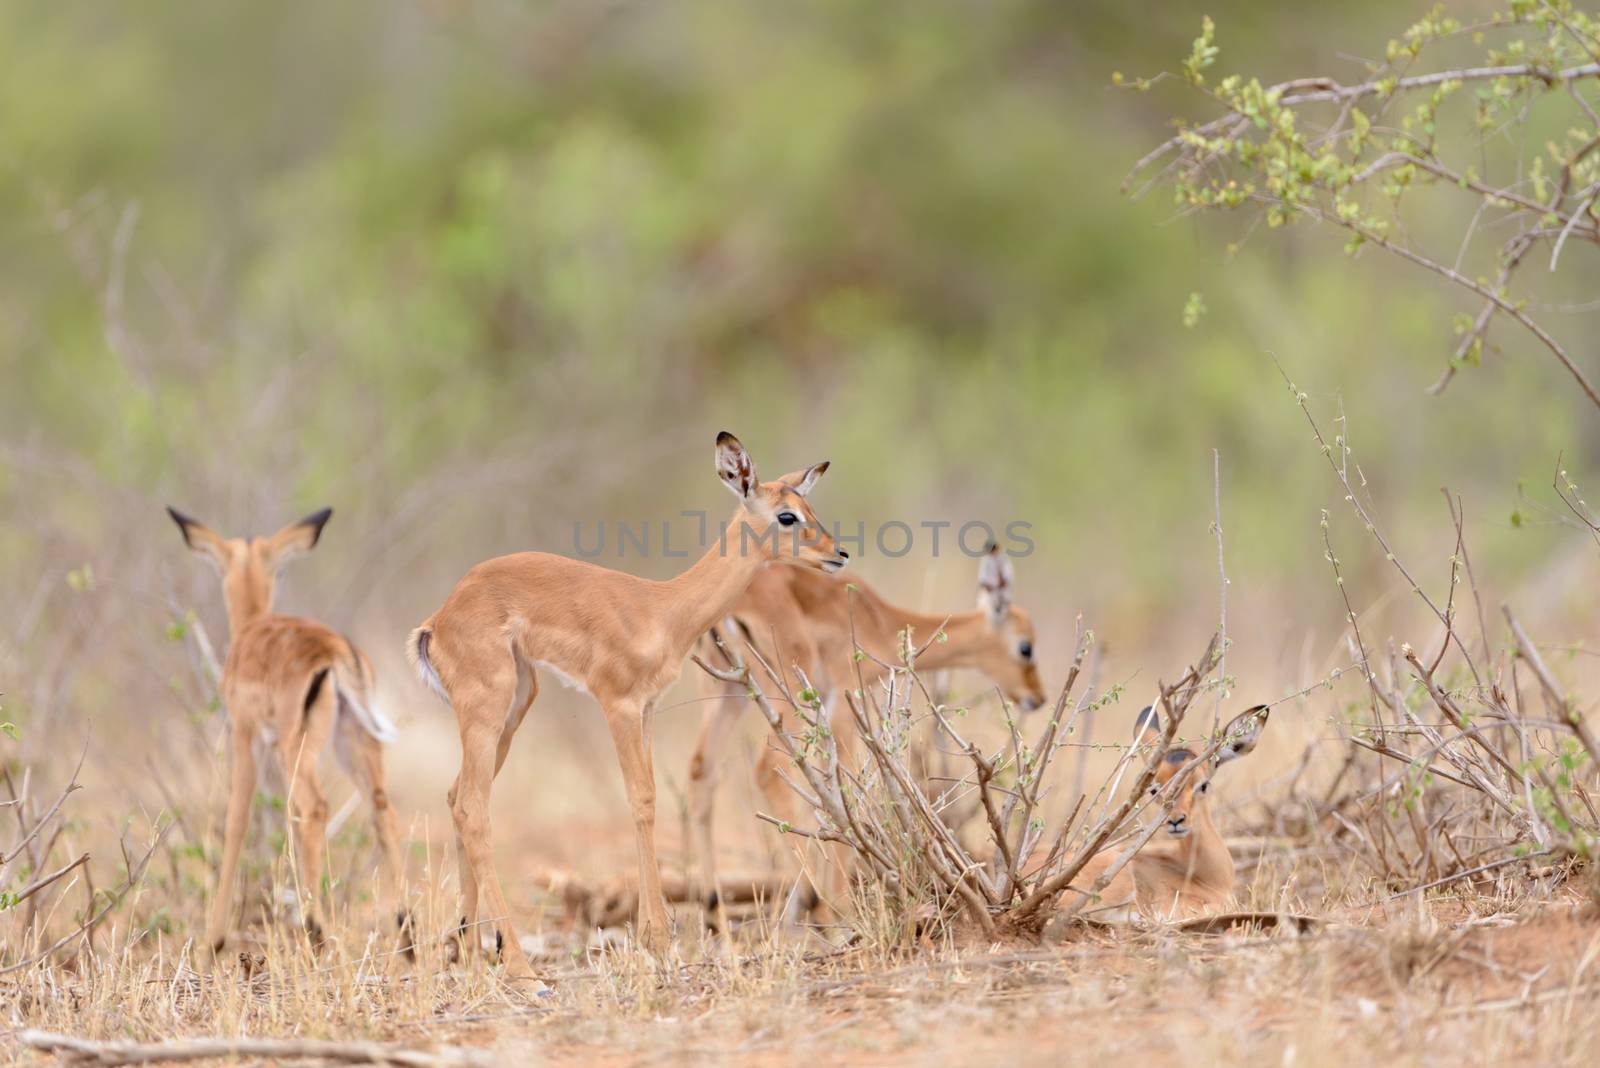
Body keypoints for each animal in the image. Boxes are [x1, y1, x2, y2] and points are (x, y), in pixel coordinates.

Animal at [167, 508, 406, 952]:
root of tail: (336, 651)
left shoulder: (245, 734)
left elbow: (237, 820)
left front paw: (214, 941)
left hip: (296, 746)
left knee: (315, 808)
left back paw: (316, 930)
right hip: (353, 741)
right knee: (382, 807)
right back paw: (405, 928)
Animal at [406, 431, 844, 984]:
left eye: (810, 506)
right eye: (787, 515)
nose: (838, 553)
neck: (663, 609)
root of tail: (437, 620)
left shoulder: (648, 708)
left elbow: (650, 798)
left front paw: (659, 940)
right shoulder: (618, 705)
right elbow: (642, 800)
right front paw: (657, 940)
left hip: (516, 705)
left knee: (454, 798)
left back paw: (466, 953)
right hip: (488, 710)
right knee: (472, 809)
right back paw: (521, 966)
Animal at [691, 543, 1049, 927]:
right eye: (1026, 647)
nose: (1038, 697)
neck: (877, 620)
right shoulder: (843, 702)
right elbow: (841, 789)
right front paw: (839, 906)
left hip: (731, 691)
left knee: (701, 768)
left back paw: (714, 908)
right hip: (781, 694)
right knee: (768, 770)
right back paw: (812, 899)